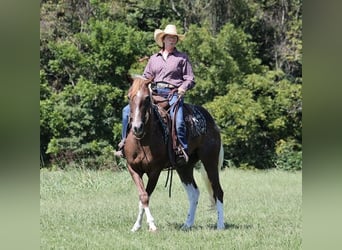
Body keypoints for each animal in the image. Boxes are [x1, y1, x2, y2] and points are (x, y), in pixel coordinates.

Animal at [123, 76, 224, 232]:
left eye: (147, 98)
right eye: (129, 97)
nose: (137, 127)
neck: (142, 141)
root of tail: (211, 121)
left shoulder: (155, 171)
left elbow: (146, 196)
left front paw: (152, 225)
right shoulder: (133, 168)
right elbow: (142, 196)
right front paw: (136, 226)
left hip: (210, 162)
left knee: (218, 191)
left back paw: (220, 225)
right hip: (184, 167)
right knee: (194, 193)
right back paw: (187, 225)